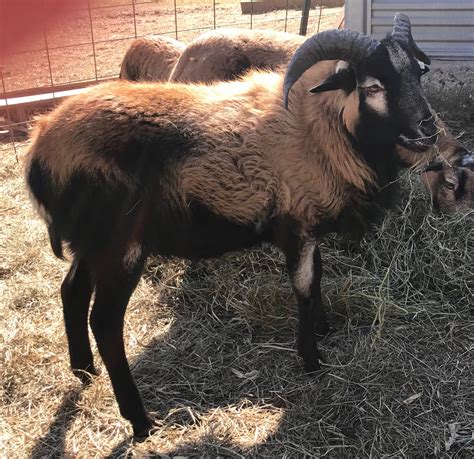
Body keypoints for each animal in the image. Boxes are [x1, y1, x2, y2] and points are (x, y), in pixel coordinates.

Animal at [25, 17, 438, 438]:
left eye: (418, 72)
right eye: (372, 86)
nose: (428, 127)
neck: (321, 127)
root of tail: (39, 145)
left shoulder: (308, 225)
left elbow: (319, 277)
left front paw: (325, 330)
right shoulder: (297, 225)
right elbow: (305, 288)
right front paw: (311, 359)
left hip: (89, 243)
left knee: (71, 291)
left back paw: (83, 370)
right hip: (120, 245)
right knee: (105, 322)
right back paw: (140, 420)